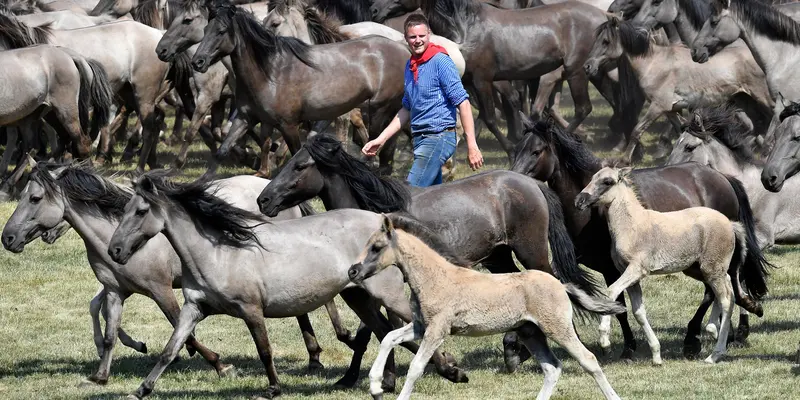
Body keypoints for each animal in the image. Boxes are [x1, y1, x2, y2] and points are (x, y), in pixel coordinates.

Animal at [191, 1, 410, 176]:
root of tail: (404, 48)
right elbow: (227, 150)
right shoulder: (250, 118)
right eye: (205, 30)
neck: (271, 71)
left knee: (380, 139)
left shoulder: (293, 123)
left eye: (221, 31)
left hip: (379, 109)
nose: (197, 62)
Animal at [346, 216, 620, 400]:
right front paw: (375, 384)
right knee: (552, 368)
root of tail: (561, 285)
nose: (353, 271)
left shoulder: (437, 330)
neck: (434, 277)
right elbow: (389, 338)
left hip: (557, 328)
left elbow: (416, 368)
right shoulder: (421, 326)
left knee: (589, 359)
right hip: (530, 332)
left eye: (376, 247)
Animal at [576, 167, 756, 364]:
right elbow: (638, 312)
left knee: (726, 299)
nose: (579, 200)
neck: (633, 225)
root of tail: (730, 224)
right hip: (702, 270)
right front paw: (656, 355)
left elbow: (611, 292)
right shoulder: (630, 276)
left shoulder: (636, 270)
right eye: (592, 178)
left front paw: (604, 340)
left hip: (712, 269)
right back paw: (712, 329)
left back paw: (714, 354)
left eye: (607, 181)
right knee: (726, 287)